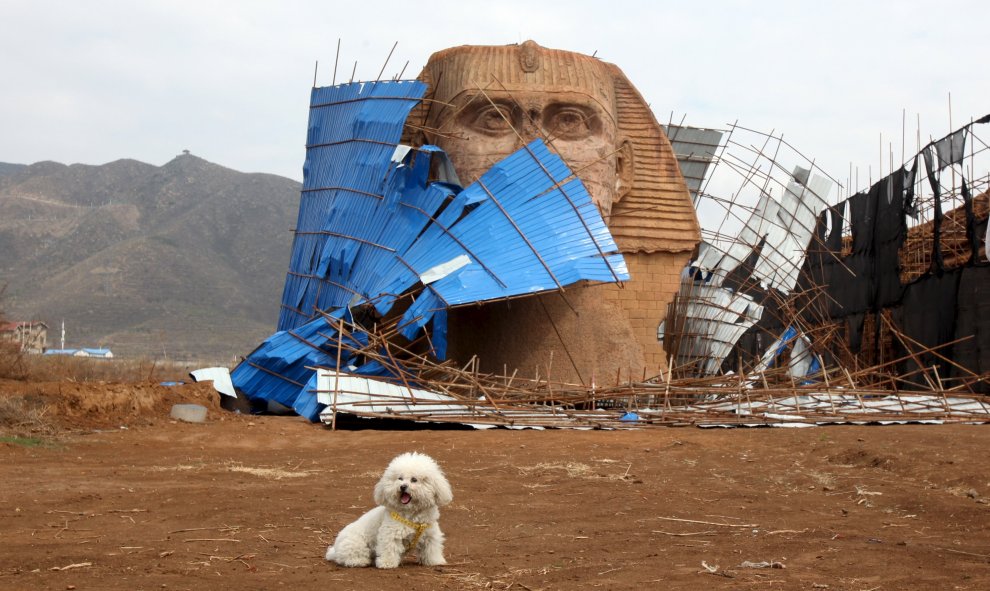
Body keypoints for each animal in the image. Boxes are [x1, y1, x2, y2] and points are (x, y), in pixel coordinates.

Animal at [326, 454, 454, 568]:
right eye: (400, 478)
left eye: (414, 479)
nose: (403, 486)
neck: (412, 514)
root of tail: (335, 550)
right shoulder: (390, 534)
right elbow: (389, 549)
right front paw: (387, 563)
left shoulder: (430, 535)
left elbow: (431, 549)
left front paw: (435, 561)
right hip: (356, 544)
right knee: (348, 557)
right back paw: (360, 561)